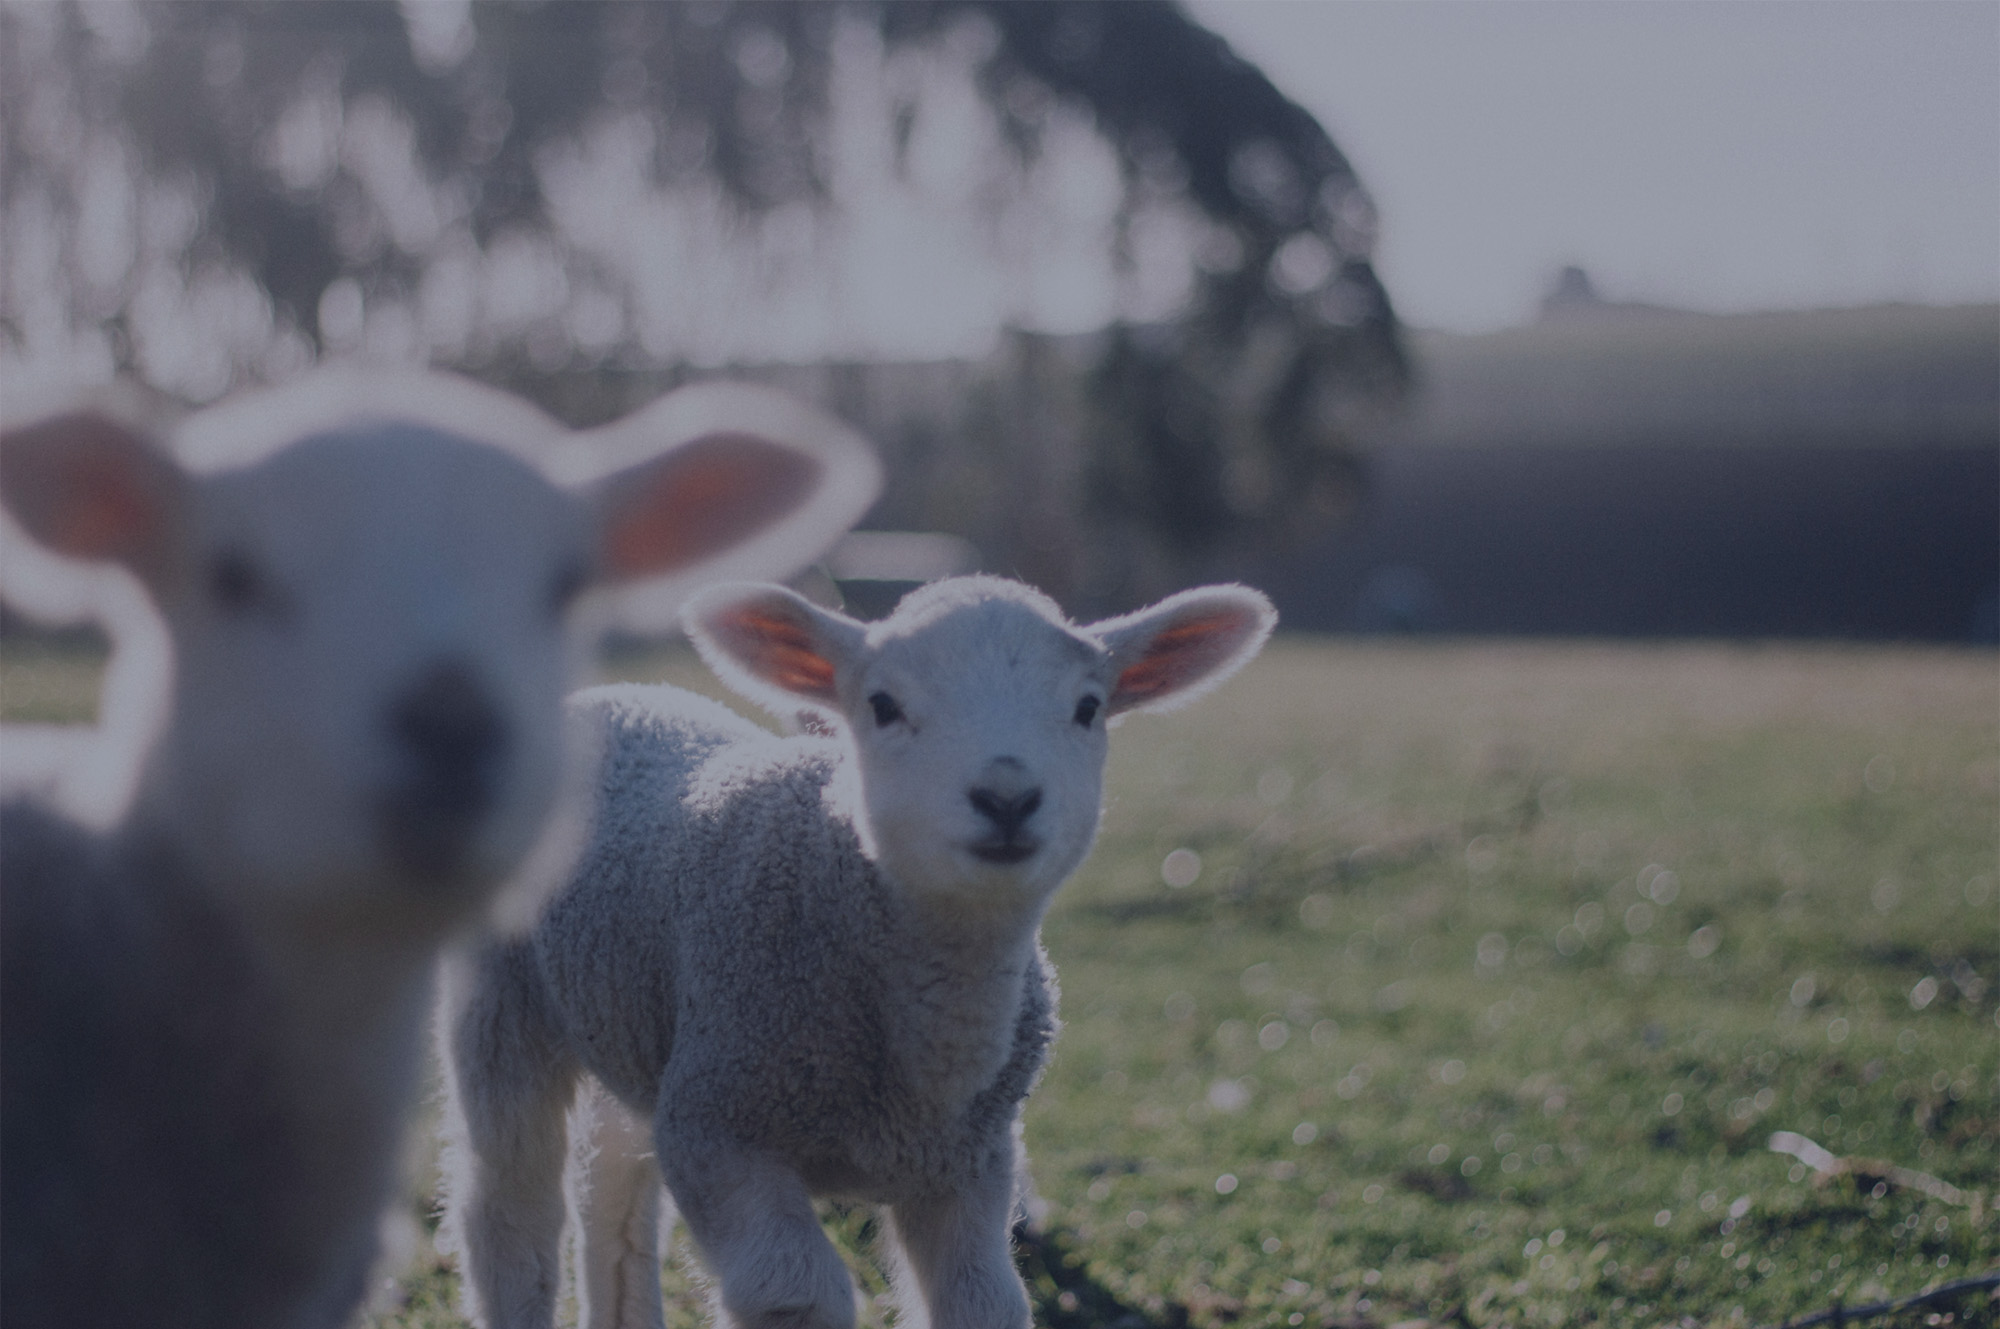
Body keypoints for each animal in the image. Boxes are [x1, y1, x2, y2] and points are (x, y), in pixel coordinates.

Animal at [439, 573, 1276, 1329]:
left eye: (1087, 707)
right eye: (883, 705)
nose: (1007, 796)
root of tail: (614, 694)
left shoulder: (970, 1163)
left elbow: (984, 1301)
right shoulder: (719, 1125)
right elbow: (795, 1292)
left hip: (636, 1020)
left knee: (612, 1188)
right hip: (502, 1004)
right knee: (509, 1208)